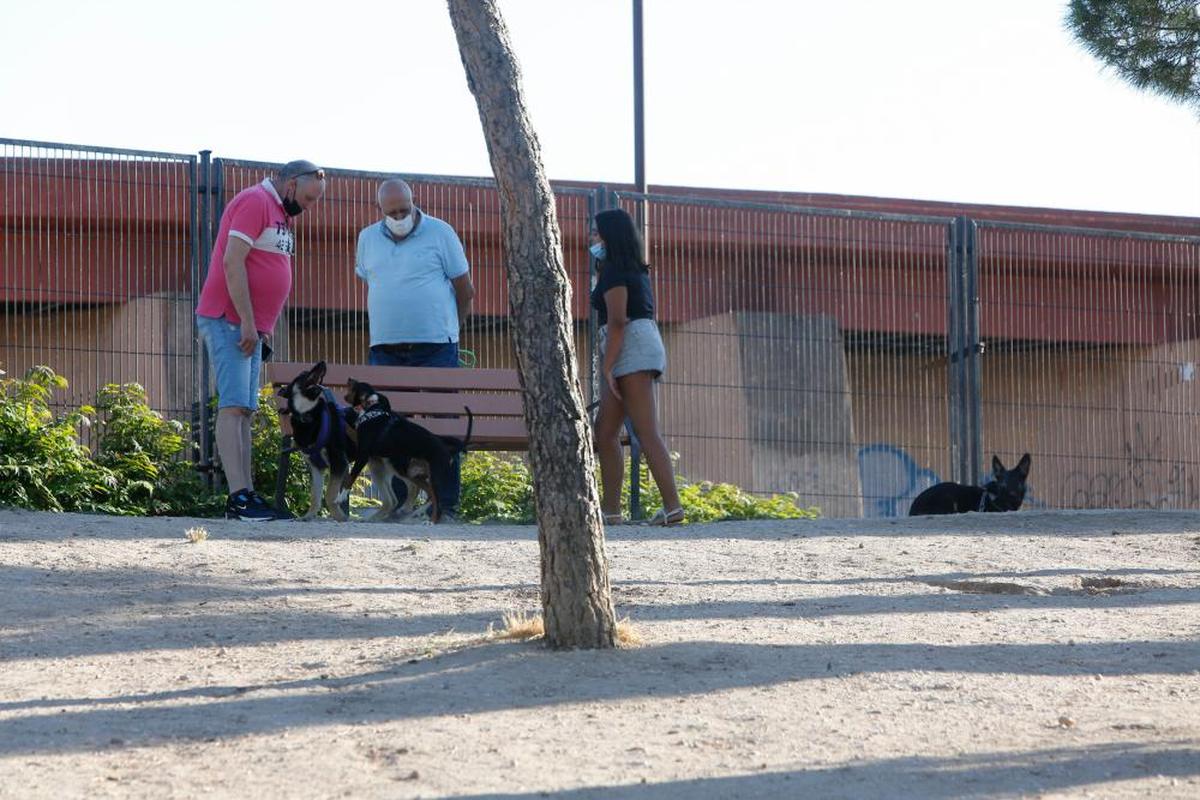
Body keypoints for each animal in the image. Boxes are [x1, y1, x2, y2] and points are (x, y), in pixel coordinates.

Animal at [274, 359, 355, 522]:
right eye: (303, 374)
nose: (323, 362)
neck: (307, 416)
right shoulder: (316, 467)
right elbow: (315, 496)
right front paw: (308, 516)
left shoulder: (339, 463)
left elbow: (330, 495)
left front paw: (339, 516)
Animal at [338, 381, 472, 525]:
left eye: (357, 386)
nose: (349, 379)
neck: (374, 413)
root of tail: (447, 449)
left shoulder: (363, 455)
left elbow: (350, 478)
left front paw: (340, 497)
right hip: (410, 472)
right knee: (426, 493)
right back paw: (412, 511)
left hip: (425, 475)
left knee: (434, 497)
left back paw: (431, 520)